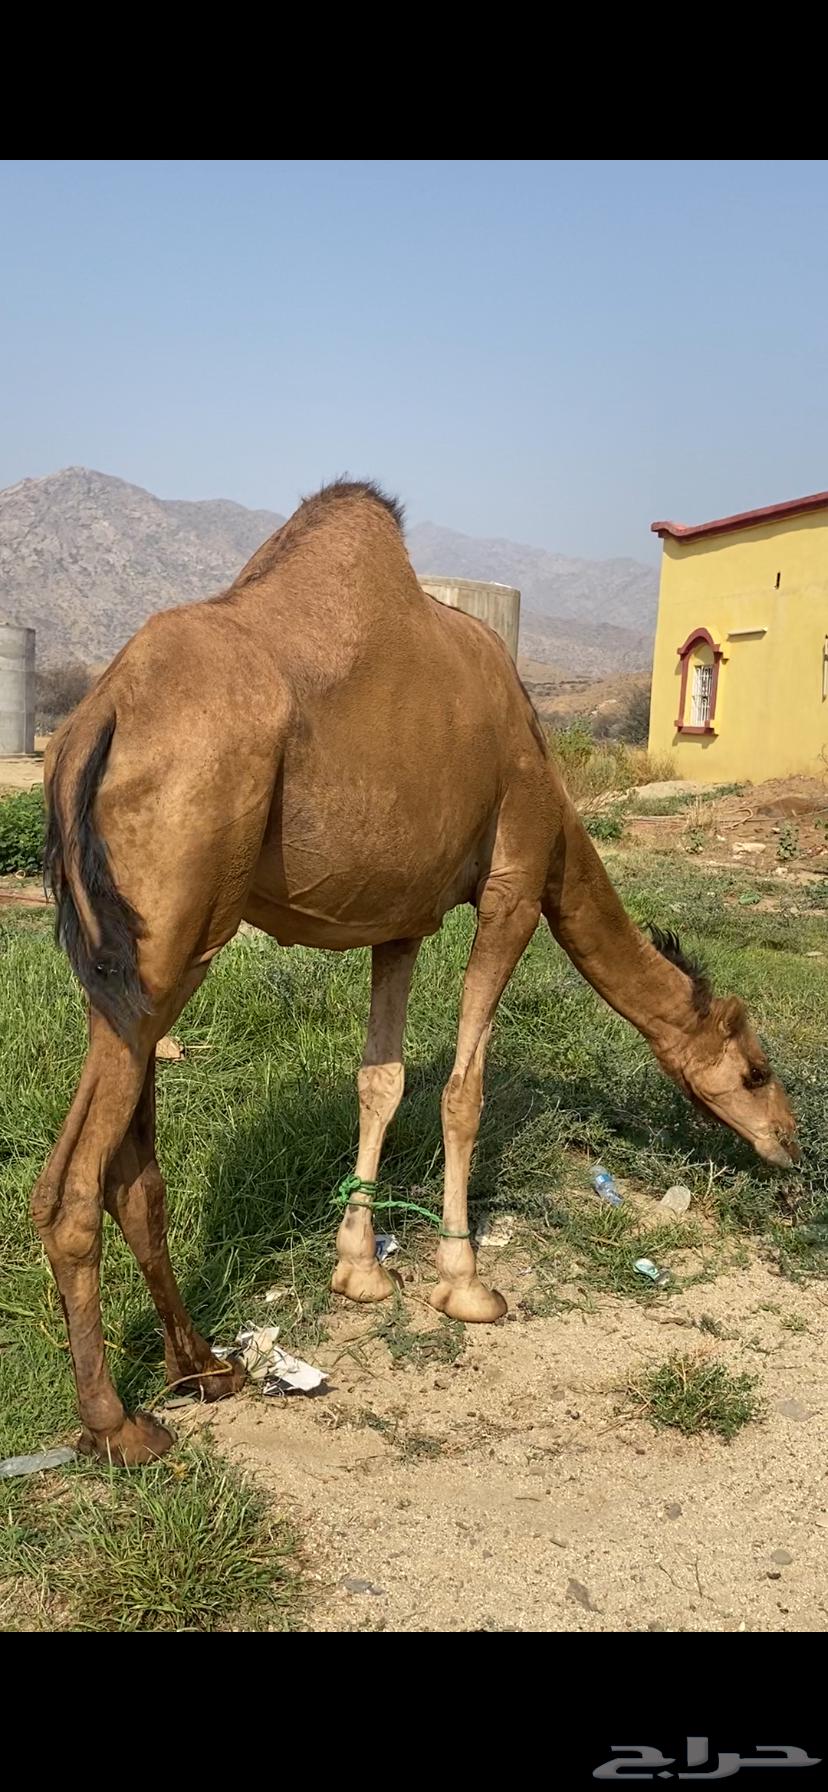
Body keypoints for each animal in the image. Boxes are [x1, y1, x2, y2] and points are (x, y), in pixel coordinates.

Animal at [35, 480, 798, 1466]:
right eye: (756, 1070)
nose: (789, 1143)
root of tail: (95, 719)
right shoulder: (516, 880)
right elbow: (463, 1088)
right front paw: (466, 1283)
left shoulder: (396, 918)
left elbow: (382, 1079)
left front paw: (359, 1268)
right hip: (171, 939)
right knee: (76, 1186)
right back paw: (118, 1424)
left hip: (136, 960)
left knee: (130, 1174)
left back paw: (204, 1367)